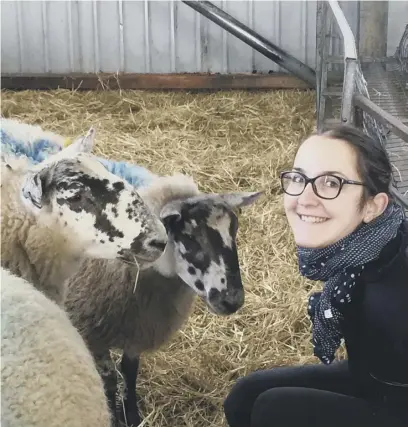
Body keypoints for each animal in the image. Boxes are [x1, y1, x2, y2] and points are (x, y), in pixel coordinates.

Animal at [63, 172, 262, 426]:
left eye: (234, 230)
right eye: (189, 238)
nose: (232, 300)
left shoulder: (138, 328)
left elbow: (129, 371)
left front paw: (132, 415)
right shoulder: (91, 331)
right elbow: (108, 379)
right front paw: (112, 415)